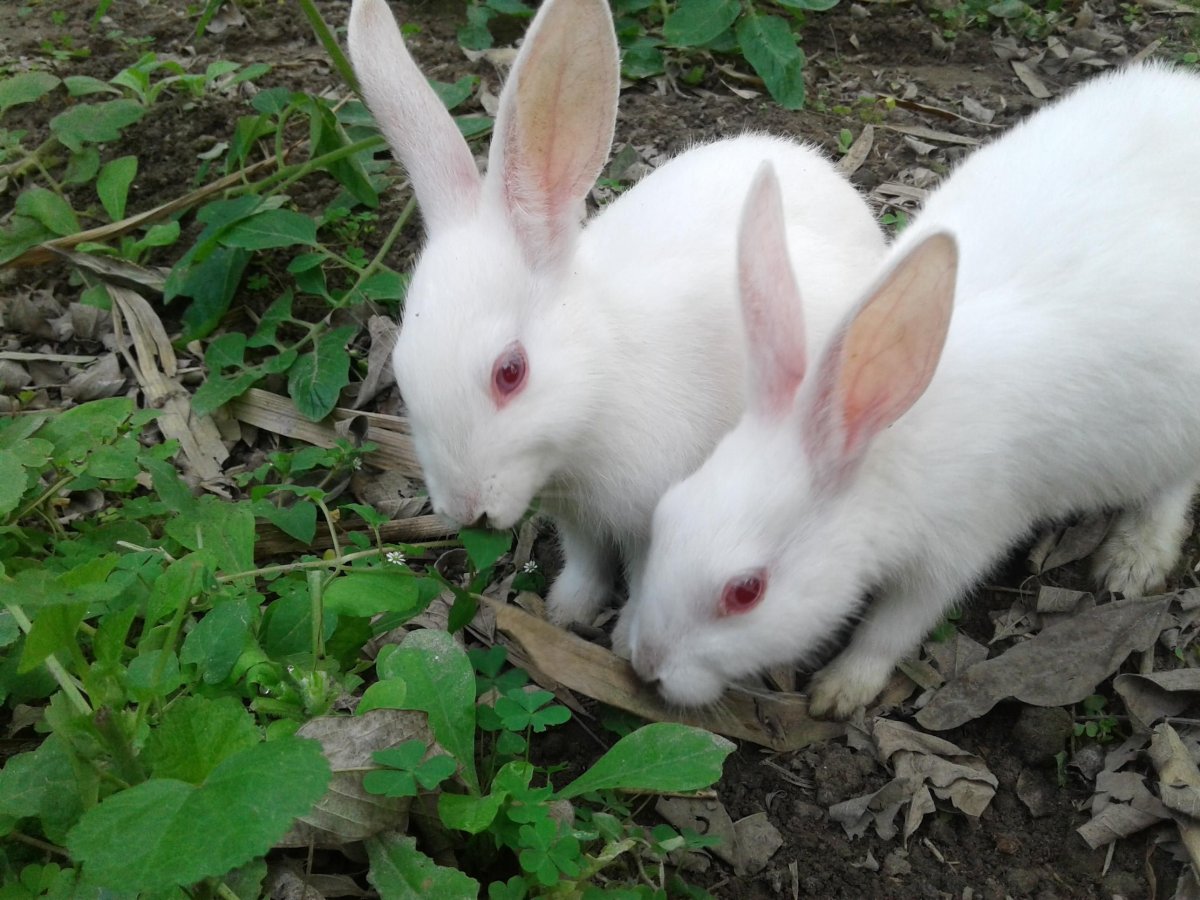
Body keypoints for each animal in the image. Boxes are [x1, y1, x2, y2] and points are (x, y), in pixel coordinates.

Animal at [347, 0, 886, 628]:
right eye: (402, 373)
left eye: (511, 372)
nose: (465, 509)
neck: (601, 391)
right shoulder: (577, 519)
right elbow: (587, 560)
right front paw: (568, 611)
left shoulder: (654, 513)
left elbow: (645, 572)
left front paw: (623, 631)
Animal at [625, 62, 1200, 720]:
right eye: (666, 513)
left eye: (746, 592)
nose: (646, 665)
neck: (876, 449)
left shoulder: (957, 551)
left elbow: (893, 627)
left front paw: (840, 690)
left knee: (1175, 485)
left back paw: (1132, 560)